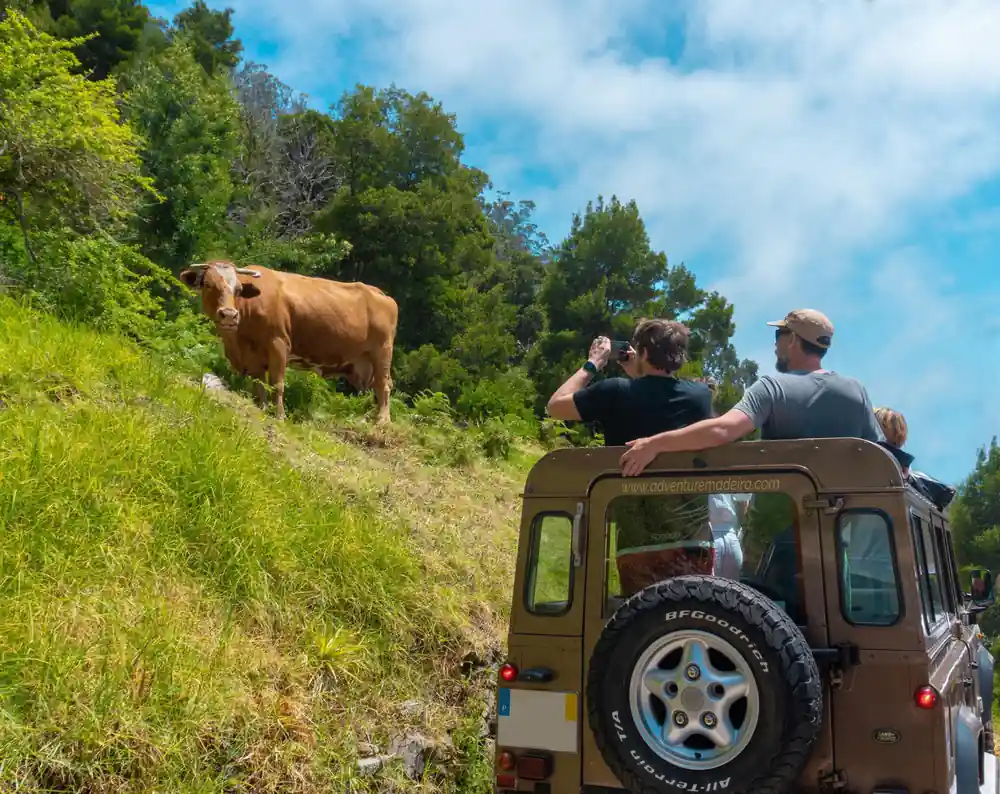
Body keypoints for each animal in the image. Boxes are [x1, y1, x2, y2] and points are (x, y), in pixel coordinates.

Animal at [178, 259, 399, 424]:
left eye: (239, 289)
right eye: (208, 285)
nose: (229, 315)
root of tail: (380, 293)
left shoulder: (278, 344)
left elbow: (277, 383)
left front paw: (279, 416)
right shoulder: (253, 357)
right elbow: (259, 383)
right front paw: (262, 407)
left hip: (382, 352)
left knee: (383, 386)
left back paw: (382, 421)